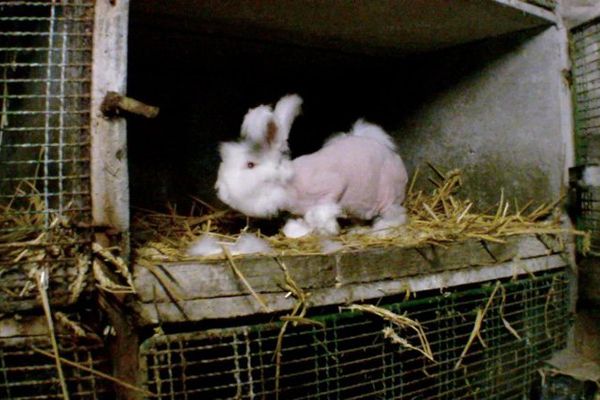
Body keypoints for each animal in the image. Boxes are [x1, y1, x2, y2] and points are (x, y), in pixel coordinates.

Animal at [216, 94, 408, 238]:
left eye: (250, 165)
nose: (221, 190)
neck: (289, 184)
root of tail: (394, 157)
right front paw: (298, 230)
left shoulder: (334, 186)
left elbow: (321, 212)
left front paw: (328, 229)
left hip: (389, 195)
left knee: (395, 215)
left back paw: (382, 229)